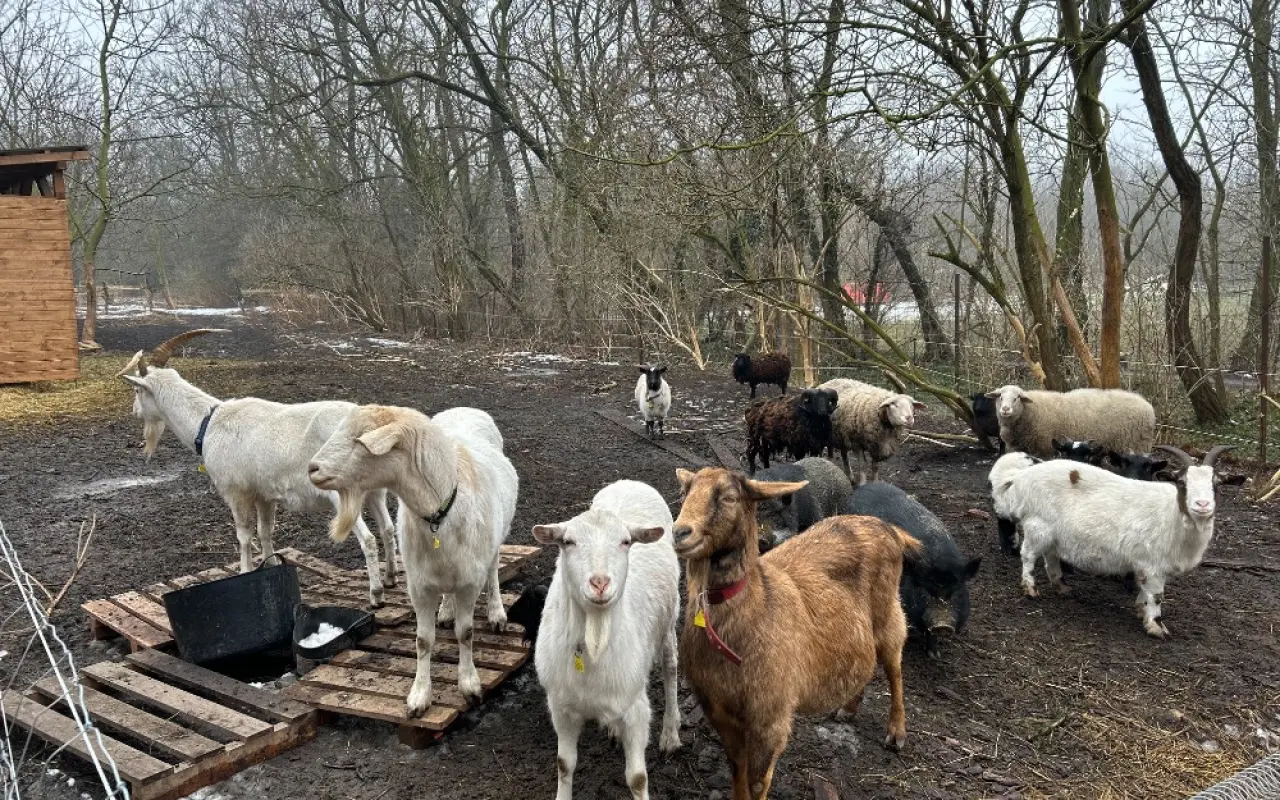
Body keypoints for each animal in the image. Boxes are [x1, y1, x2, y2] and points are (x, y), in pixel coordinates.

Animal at [120, 330, 399, 604]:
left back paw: (376, 594)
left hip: (341, 491)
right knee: (387, 529)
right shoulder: (264, 495)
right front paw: (271, 566)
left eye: (136, 391)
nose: (134, 412)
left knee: (368, 538)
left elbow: (244, 535)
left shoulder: (237, 492)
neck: (208, 423)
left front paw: (244, 571)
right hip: (375, 490)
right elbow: (266, 532)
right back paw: (390, 578)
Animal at [670, 468, 921, 798]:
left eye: (730, 497)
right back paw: (848, 708)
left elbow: (757, 782)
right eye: (685, 492)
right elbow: (736, 769)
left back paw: (896, 731)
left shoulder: (770, 718)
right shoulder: (719, 712)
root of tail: (888, 527)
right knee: (866, 662)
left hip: (888, 611)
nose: (680, 533)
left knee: (894, 666)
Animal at [983, 386, 1157, 458]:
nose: (1005, 409)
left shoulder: (1045, 448)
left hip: (1137, 445)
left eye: (1017, 398)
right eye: (1000, 396)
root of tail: (1148, 406)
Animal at [988, 442, 1228, 637]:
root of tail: (1021, 478)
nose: (1202, 505)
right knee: (1028, 555)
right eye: (1181, 482)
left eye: (1216, 484)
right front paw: (1156, 627)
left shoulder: (1145, 565)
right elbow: (1156, 595)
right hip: (1038, 525)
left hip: (1051, 533)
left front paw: (1141, 610)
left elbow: (1144, 590)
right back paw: (1030, 589)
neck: (1172, 515)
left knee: (1051, 558)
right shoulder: (1153, 565)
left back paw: (1062, 587)